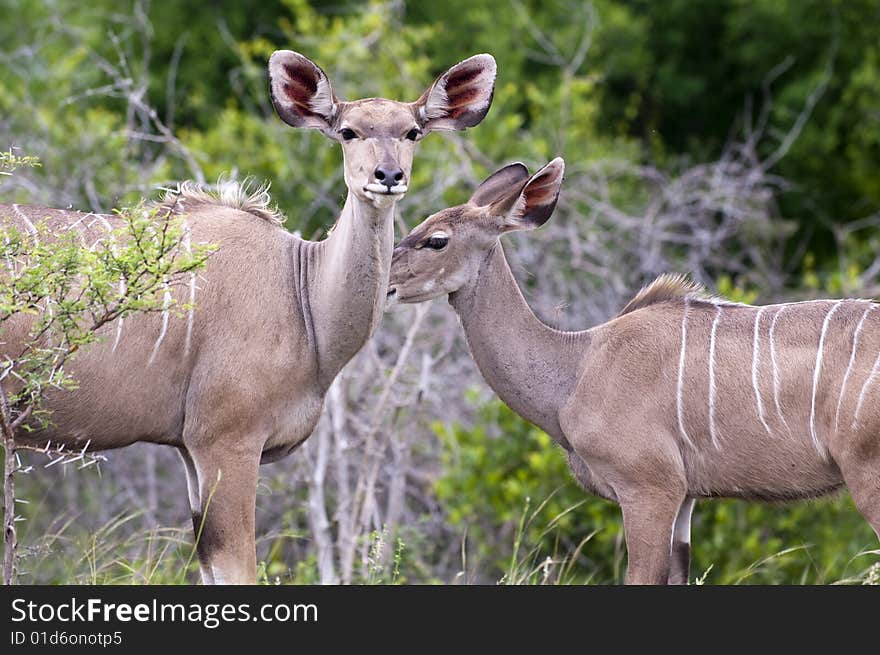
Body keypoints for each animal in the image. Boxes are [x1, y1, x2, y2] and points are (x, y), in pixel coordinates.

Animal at [0, 50, 496, 584]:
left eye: (412, 132)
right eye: (347, 132)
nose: (387, 177)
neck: (301, 291)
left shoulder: (189, 450)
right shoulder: (225, 441)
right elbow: (237, 567)